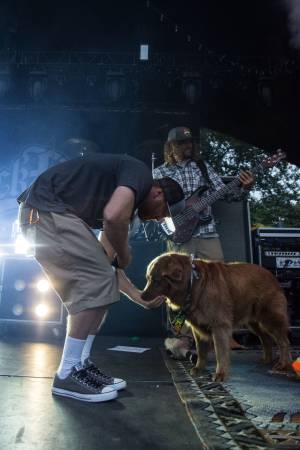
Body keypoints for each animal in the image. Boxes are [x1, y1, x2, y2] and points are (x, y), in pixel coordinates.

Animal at [142, 251, 292, 382]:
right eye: (148, 279)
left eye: (155, 280)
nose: (142, 296)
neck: (192, 284)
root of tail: (271, 275)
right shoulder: (197, 328)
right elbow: (201, 351)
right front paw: (198, 368)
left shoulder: (219, 325)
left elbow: (220, 353)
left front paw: (220, 374)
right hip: (254, 323)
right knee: (266, 339)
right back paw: (266, 359)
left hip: (270, 319)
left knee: (284, 342)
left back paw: (282, 364)